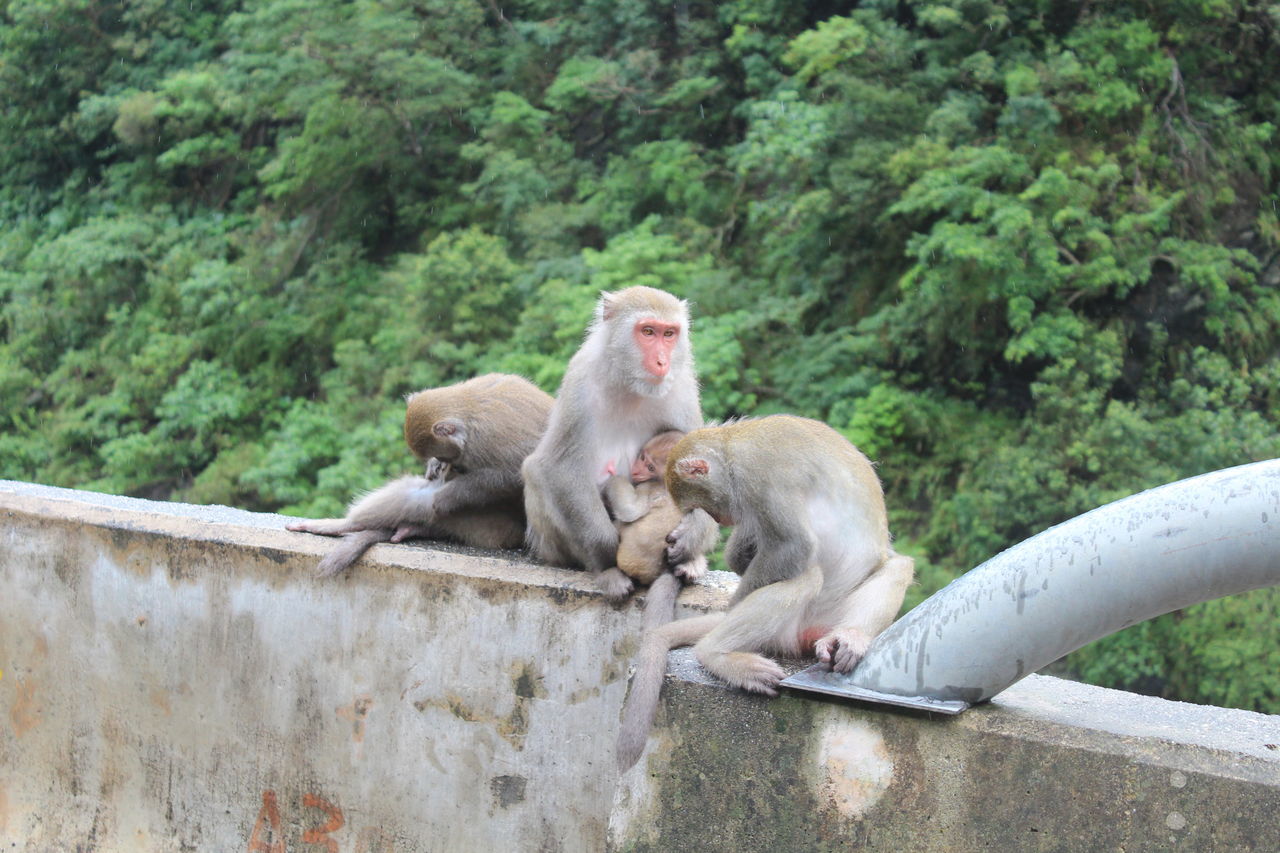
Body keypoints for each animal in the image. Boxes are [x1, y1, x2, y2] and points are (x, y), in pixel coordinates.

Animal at [288, 373, 552, 578]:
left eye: (449, 456)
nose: (446, 465)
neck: (470, 410)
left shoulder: (490, 441)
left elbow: (508, 477)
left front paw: (445, 497)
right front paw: (433, 467)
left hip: (494, 527)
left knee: (420, 501)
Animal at [519, 289, 721, 601]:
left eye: (669, 334)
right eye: (648, 332)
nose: (662, 361)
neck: (630, 385)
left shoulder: (681, 387)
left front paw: (693, 535)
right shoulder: (580, 380)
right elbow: (558, 466)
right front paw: (607, 551)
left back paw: (692, 560)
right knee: (537, 474)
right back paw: (606, 571)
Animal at [614, 414, 916, 768]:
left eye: (703, 507)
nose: (720, 519)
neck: (731, 447)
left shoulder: (758, 476)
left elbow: (792, 546)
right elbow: (767, 548)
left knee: (882, 568)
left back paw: (846, 636)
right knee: (810, 577)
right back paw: (718, 652)